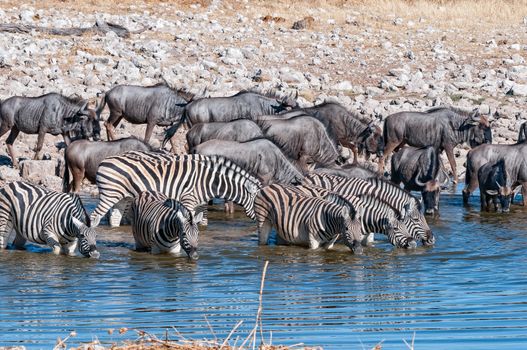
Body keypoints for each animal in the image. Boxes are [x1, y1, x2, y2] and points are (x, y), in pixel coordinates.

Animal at [93, 152, 264, 228]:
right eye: (259, 203)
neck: (209, 181)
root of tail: (104, 161)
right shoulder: (188, 199)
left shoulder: (199, 203)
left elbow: (200, 221)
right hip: (109, 194)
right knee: (95, 217)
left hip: (122, 197)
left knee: (114, 218)